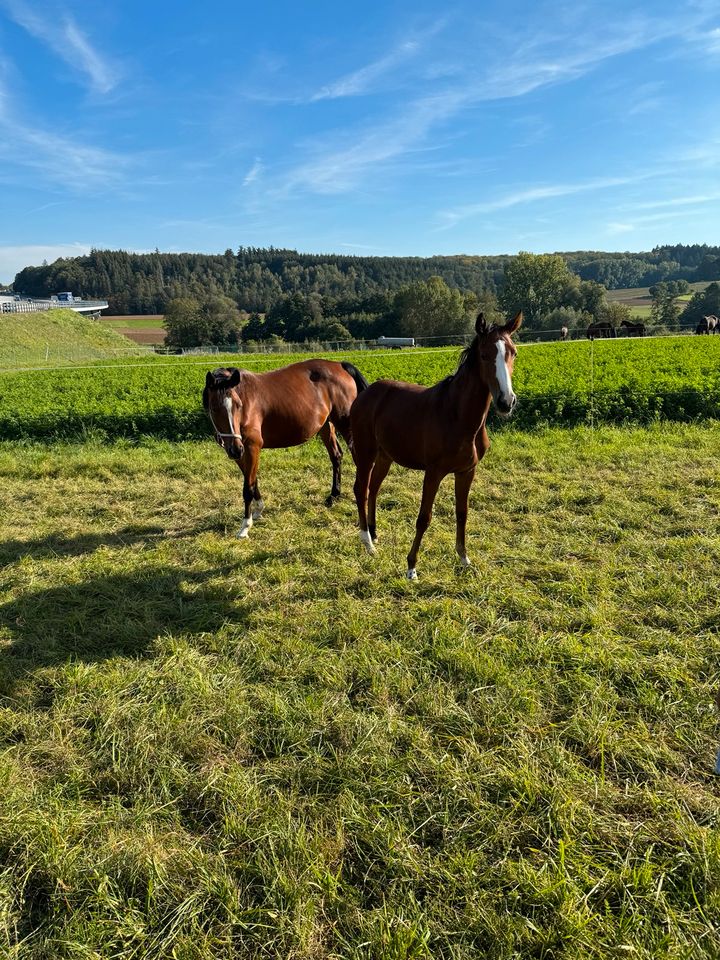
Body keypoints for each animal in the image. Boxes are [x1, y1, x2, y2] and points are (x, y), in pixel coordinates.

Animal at [205, 360, 368, 540]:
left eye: (238, 406)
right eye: (214, 408)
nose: (234, 449)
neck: (246, 397)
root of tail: (339, 365)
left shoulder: (252, 447)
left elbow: (247, 488)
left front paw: (245, 527)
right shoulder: (242, 453)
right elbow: (252, 481)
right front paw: (259, 509)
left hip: (345, 424)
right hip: (326, 425)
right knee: (336, 456)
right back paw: (334, 495)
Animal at [352, 314, 520, 576]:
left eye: (513, 353)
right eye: (484, 355)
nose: (506, 402)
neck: (457, 416)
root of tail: (366, 393)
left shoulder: (466, 471)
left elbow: (462, 513)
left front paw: (464, 558)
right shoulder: (433, 473)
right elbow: (424, 517)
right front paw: (411, 567)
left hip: (384, 456)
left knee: (374, 488)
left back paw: (374, 533)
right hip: (365, 452)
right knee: (361, 489)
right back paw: (368, 544)